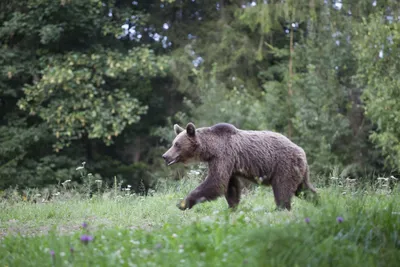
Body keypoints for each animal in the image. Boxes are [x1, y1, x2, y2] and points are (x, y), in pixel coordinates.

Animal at [161, 122, 318, 211]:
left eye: (177, 144)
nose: (165, 156)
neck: (211, 149)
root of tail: (301, 151)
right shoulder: (229, 163)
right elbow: (230, 186)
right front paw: (232, 207)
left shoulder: (224, 156)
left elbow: (215, 181)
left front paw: (182, 203)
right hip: (298, 170)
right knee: (304, 189)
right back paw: (320, 202)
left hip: (284, 166)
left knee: (283, 189)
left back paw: (280, 208)